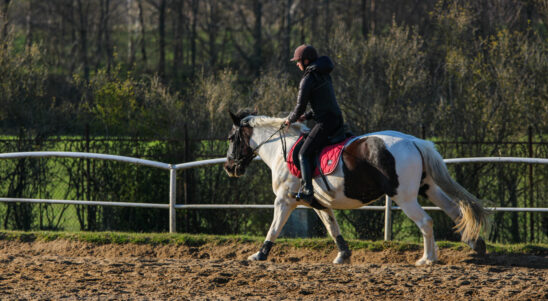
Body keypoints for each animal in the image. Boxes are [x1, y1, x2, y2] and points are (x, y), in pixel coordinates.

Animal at [225, 110, 486, 264]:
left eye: (230, 138)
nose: (229, 167)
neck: (284, 149)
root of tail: (413, 141)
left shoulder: (284, 200)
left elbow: (274, 228)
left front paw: (260, 254)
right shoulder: (317, 202)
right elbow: (332, 227)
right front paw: (343, 255)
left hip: (404, 197)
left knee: (426, 221)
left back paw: (427, 259)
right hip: (428, 188)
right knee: (454, 211)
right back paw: (475, 244)